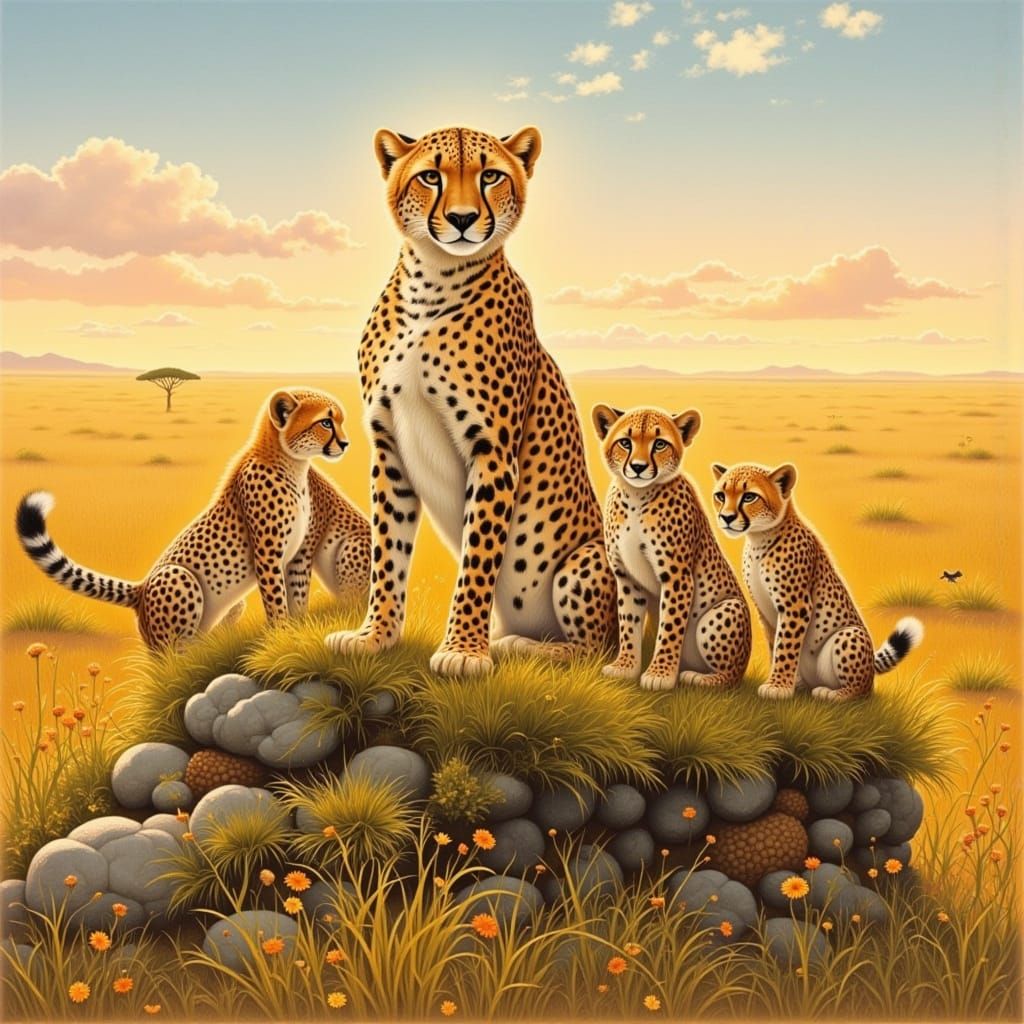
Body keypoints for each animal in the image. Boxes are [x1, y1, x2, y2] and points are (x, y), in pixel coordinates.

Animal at [17, 388, 370, 650]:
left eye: (338, 421)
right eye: (326, 423)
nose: (345, 443)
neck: (290, 464)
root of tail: (141, 589)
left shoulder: (297, 554)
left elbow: (296, 596)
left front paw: (296, 631)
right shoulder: (268, 554)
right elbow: (276, 600)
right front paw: (281, 636)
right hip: (179, 577)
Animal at [324, 124, 617, 677]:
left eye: (491, 176)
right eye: (430, 176)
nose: (462, 219)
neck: (433, 282)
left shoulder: (493, 454)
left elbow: (478, 559)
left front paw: (463, 651)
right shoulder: (389, 449)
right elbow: (387, 554)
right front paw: (375, 637)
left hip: (586, 558)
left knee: (598, 648)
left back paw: (522, 646)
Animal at [594, 404, 751, 692]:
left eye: (659, 444)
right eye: (625, 442)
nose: (638, 467)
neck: (636, 495)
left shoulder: (677, 577)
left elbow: (670, 627)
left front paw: (660, 674)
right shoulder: (628, 576)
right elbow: (628, 622)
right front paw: (626, 667)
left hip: (726, 609)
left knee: (731, 675)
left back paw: (700, 678)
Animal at [710, 461, 924, 701]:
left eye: (749, 497)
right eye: (720, 495)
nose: (726, 518)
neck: (759, 538)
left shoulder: (796, 606)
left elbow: (785, 646)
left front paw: (778, 686)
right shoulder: (764, 611)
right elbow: (775, 645)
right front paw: (782, 682)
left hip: (849, 634)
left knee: (864, 689)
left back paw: (835, 694)